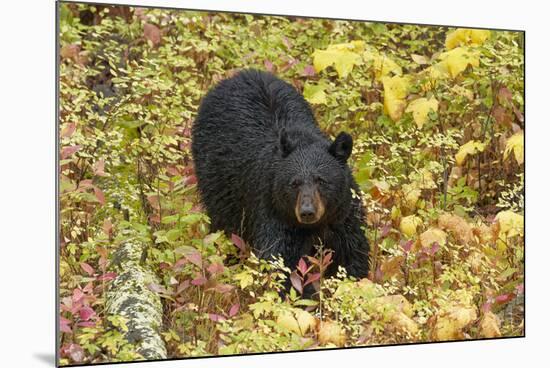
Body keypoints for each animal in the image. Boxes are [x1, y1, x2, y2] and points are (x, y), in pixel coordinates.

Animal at [191, 69, 370, 278]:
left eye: (321, 181)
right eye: (294, 183)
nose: (307, 211)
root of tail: (240, 74)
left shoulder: (344, 215)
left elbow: (353, 254)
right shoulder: (273, 209)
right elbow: (280, 259)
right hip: (219, 183)